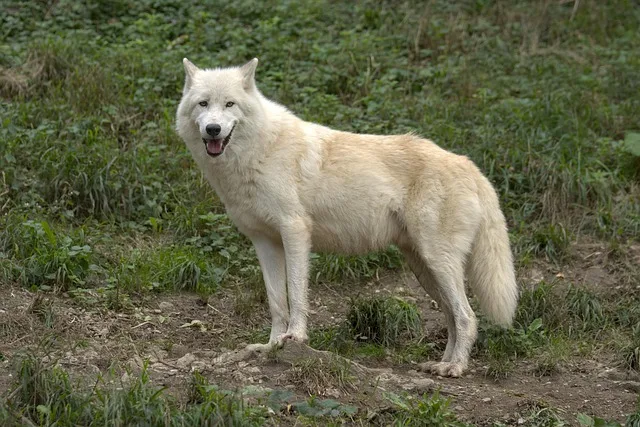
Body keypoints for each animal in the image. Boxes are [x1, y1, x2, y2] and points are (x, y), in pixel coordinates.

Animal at [175, 58, 519, 377]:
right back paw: (440, 363)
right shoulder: (264, 242)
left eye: (229, 104)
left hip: (438, 262)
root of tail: (470, 165)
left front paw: (295, 337)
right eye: (203, 104)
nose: (213, 129)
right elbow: (276, 302)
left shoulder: (295, 231)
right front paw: (271, 345)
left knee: (467, 316)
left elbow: (296, 293)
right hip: (424, 268)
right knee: (452, 316)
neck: (257, 152)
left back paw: (455, 368)